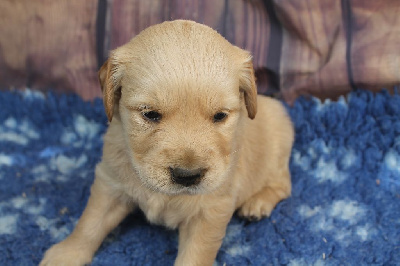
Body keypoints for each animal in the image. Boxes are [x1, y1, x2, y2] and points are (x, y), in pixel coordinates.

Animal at [40, 19, 294, 264]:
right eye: (150, 114)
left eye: (220, 116)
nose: (188, 176)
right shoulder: (110, 183)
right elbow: (90, 222)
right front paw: (67, 253)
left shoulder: (209, 211)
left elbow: (194, 257)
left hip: (278, 147)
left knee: (284, 183)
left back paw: (258, 203)